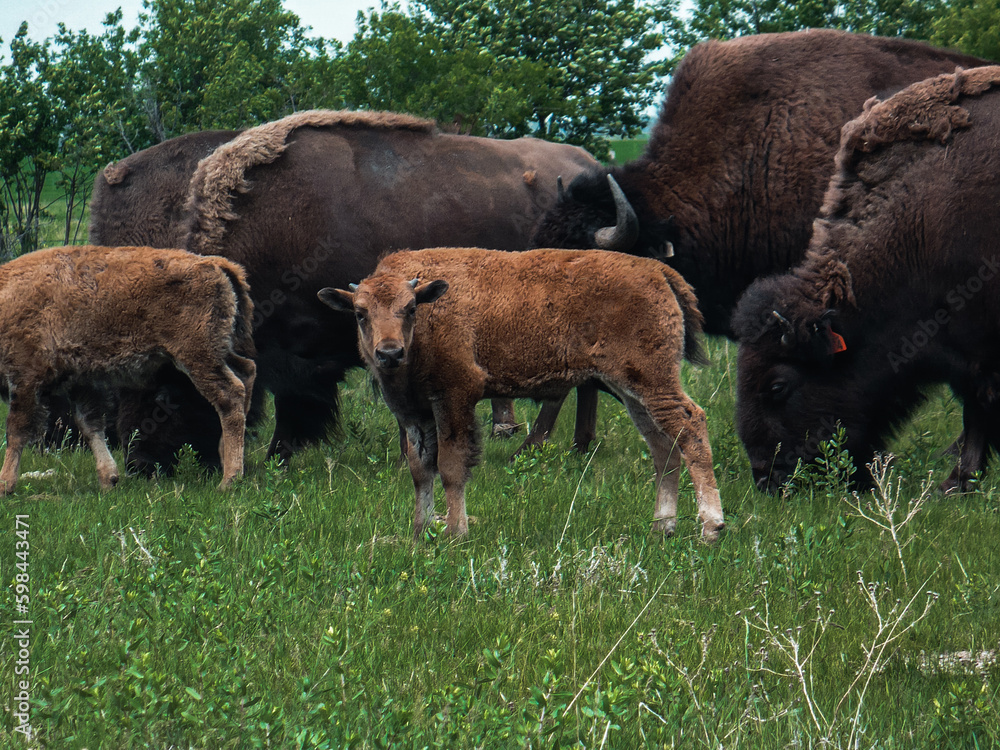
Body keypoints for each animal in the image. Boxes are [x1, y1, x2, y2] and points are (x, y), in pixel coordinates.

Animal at [0, 244, 256, 496]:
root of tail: (214, 264)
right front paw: (109, 479)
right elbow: (91, 425)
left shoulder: (26, 377)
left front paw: (5, 484)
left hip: (197, 356)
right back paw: (228, 456)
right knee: (247, 371)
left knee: (230, 395)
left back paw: (229, 479)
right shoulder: (79, 381)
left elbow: (17, 430)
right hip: (218, 350)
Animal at [90, 108, 596, 472]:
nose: (140, 465)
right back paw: (572, 446)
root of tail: (590, 162)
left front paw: (281, 455)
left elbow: (299, 404)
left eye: (165, 394)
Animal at [320, 250, 728, 544]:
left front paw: (455, 533)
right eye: (360, 313)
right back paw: (663, 527)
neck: (428, 311)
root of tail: (657, 270)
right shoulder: (412, 411)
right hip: (632, 390)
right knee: (663, 447)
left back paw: (711, 527)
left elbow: (451, 466)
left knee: (691, 424)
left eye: (409, 308)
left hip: (652, 382)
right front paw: (421, 534)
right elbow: (421, 469)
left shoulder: (455, 396)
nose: (389, 353)